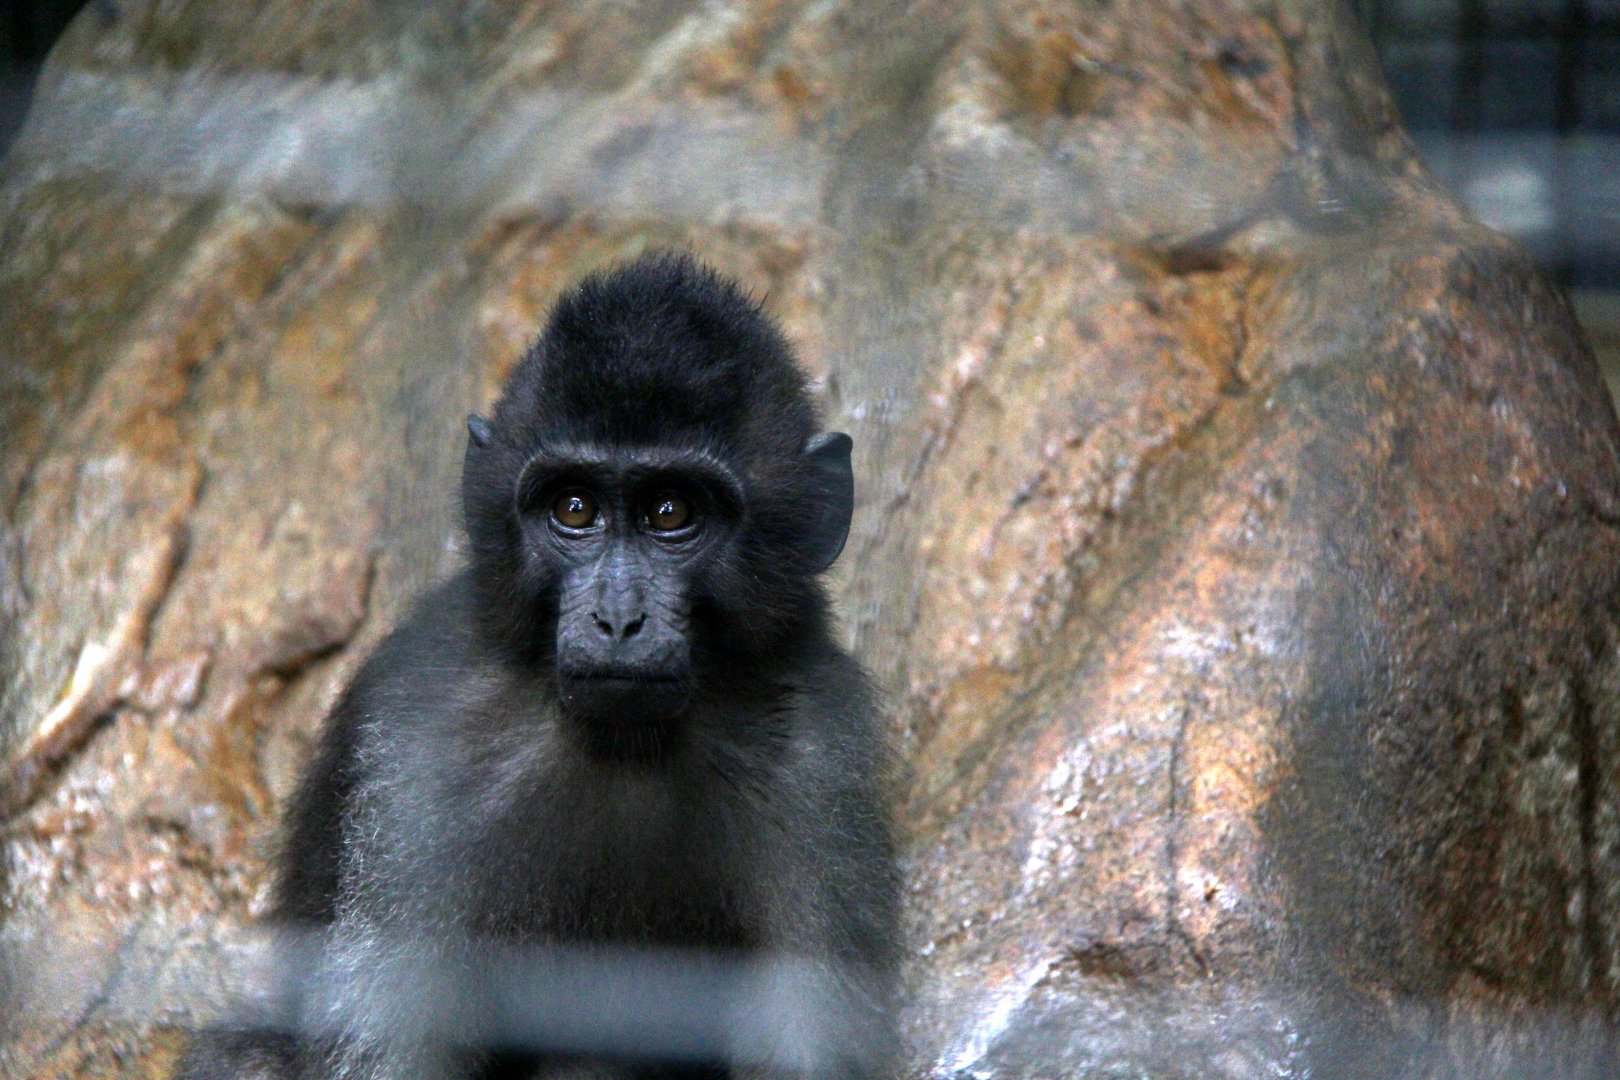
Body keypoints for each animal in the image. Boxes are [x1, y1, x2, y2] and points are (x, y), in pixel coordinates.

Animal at [179, 253, 899, 1080]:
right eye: (576, 509)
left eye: (671, 513)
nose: (617, 620)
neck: (625, 745)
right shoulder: (415, 748)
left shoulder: (819, 756)